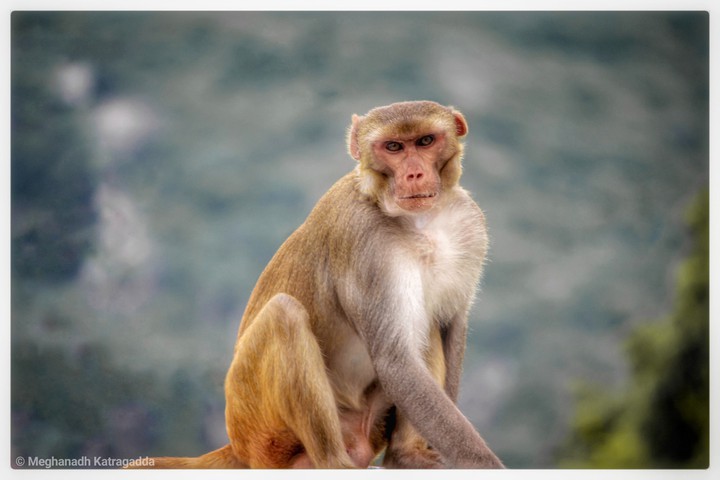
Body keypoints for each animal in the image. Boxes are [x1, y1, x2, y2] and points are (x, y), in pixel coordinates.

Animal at [128, 100, 504, 469]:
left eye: (425, 141)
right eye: (393, 147)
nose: (414, 174)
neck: (417, 220)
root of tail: (237, 445)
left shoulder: (468, 222)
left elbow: (450, 325)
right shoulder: (365, 241)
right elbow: (395, 359)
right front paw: (481, 462)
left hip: (366, 426)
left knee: (425, 327)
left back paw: (405, 456)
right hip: (262, 429)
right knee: (284, 315)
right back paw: (334, 462)